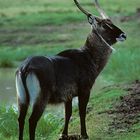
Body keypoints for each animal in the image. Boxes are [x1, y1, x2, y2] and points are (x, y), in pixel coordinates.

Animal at [15, 0, 126, 139]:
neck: (88, 56)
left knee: (20, 119)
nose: (123, 35)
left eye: (111, 22)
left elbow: (68, 114)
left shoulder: (68, 96)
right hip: (40, 98)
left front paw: (64, 134)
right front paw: (84, 135)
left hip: (22, 99)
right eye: (105, 25)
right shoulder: (85, 90)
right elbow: (82, 112)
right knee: (32, 120)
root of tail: (25, 67)